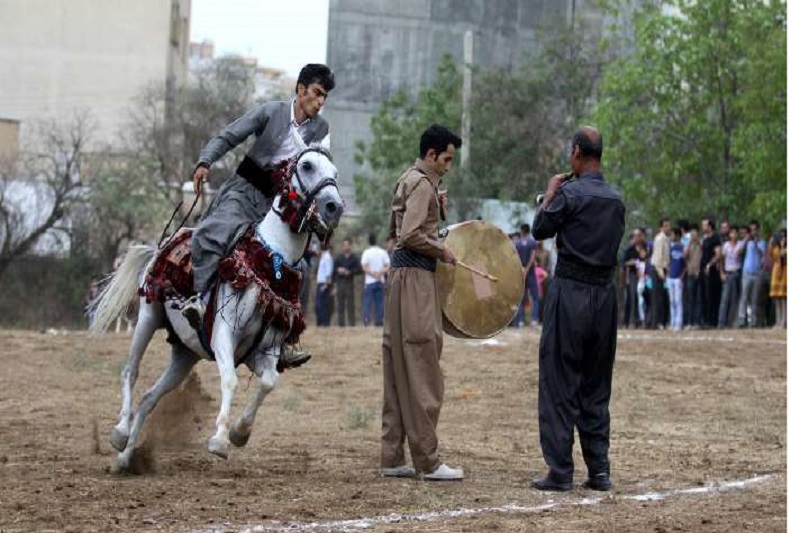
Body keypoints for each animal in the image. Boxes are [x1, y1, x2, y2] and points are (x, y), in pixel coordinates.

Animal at [89, 148, 342, 472]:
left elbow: (269, 382)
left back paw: (125, 459)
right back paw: (120, 434)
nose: (335, 207)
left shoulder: (265, 350)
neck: (270, 264)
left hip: (185, 355)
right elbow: (230, 380)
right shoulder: (224, 335)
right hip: (147, 318)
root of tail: (162, 245)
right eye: (307, 165)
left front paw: (240, 433)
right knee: (129, 372)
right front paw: (220, 439)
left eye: (334, 172)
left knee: (148, 398)